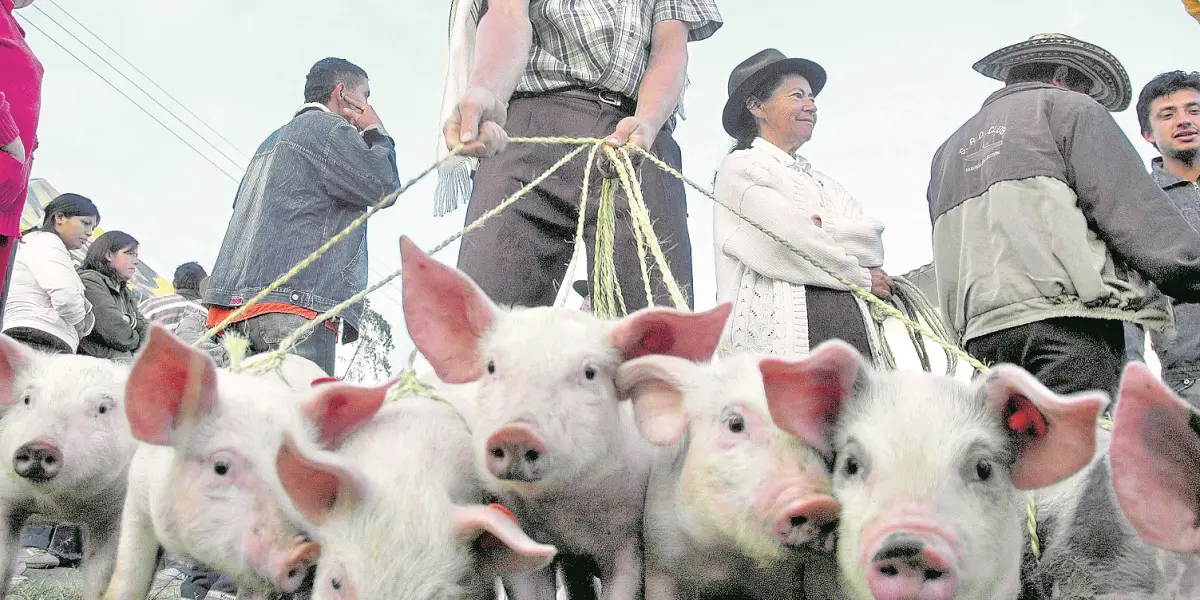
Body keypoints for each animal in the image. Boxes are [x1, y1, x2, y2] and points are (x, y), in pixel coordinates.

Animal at [0, 334, 136, 600]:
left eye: (103, 408)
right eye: (27, 399)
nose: (39, 446)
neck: (61, 506)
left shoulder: (118, 514)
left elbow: (103, 577)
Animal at [398, 235, 732, 600]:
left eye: (589, 373)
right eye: (491, 367)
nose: (516, 433)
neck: (563, 509)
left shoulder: (630, 538)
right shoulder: (522, 533)